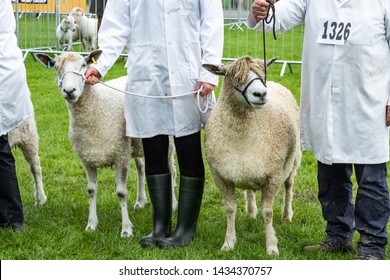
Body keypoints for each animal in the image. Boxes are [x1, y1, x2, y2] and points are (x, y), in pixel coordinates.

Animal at [204, 55, 302, 255]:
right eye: (234, 77)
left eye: (262, 75)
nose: (261, 94)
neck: (243, 135)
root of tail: (274, 83)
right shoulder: (220, 175)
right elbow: (230, 209)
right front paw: (228, 242)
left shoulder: (273, 176)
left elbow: (268, 212)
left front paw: (271, 246)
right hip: (246, 169)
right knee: (249, 189)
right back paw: (250, 211)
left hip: (293, 160)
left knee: (289, 186)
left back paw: (287, 215)